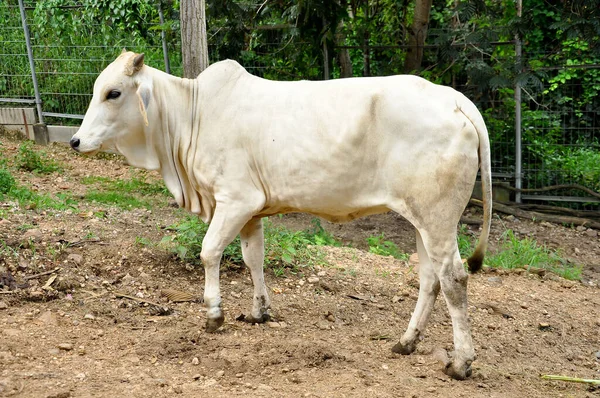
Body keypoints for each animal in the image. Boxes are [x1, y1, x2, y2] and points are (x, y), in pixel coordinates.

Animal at [71, 51, 492, 380]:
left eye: (113, 93)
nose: (75, 141)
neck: (191, 115)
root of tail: (454, 99)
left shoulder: (236, 200)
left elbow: (209, 252)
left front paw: (214, 313)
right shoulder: (251, 210)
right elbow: (252, 257)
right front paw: (259, 311)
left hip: (437, 218)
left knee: (453, 279)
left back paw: (461, 363)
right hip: (421, 219)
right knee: (429, 280)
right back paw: (405, 342)